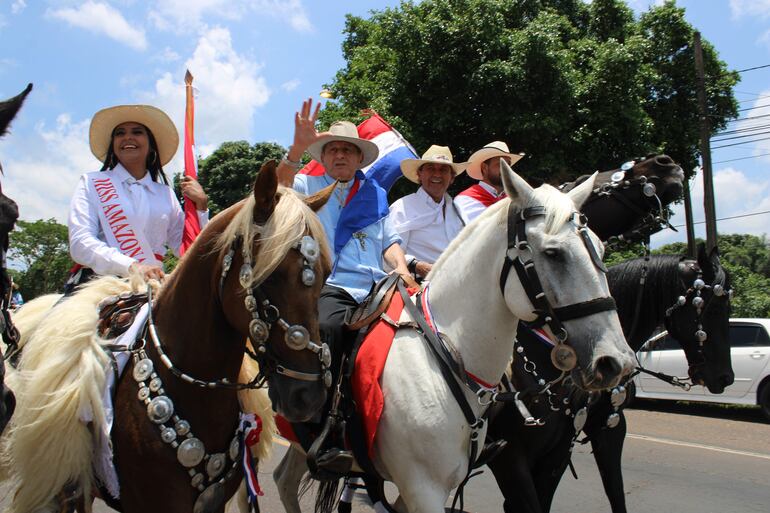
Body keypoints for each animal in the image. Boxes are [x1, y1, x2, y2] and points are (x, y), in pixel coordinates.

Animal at [270, 163, 636, 512]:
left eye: (600, 249)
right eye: (553, 253)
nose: (615, 361)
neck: (446, 354)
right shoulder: (426, 487)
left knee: (284, 481)